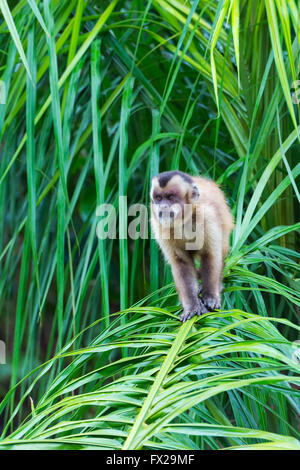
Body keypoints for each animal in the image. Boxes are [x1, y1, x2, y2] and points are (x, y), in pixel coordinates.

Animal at [150, 171, 234, 322]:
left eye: (170, 197)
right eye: (158, 198)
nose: (163, 207)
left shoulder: (207, 216)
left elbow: (210, 255)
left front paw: (210, 297)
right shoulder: (159, 225)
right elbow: (181, 263)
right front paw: (192, 307)